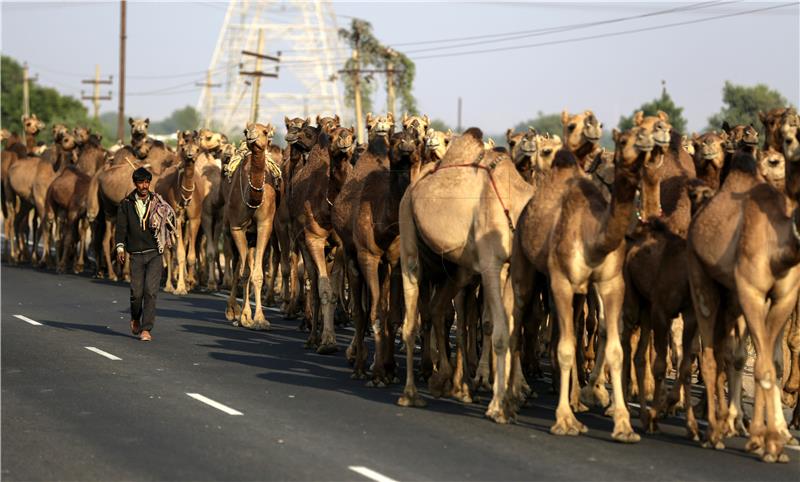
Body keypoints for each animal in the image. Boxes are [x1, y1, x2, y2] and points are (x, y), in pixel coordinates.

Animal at [222, 122, 278, 332]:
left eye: (265, 132)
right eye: (246, 130)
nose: (251, 136)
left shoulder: (265, 226)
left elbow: (257, 274)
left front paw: (260, 320)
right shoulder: (237, 228)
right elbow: (244, 272)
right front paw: (245, 317)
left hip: (253, 238)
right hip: (229, 232)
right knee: (237, 264)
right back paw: (233, 312)